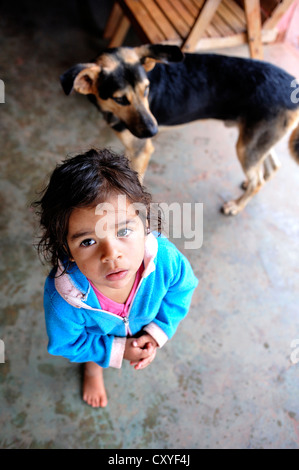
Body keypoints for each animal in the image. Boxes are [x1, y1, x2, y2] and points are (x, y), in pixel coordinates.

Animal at [59, 43, 299, 216]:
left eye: (146, 89)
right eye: (120, 99)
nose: (153, 131)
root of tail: (293, 84)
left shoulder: (140, 150)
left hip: (247, 146)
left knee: (259, 180)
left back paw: (236, 206)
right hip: (257, 140)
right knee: (271, 167)